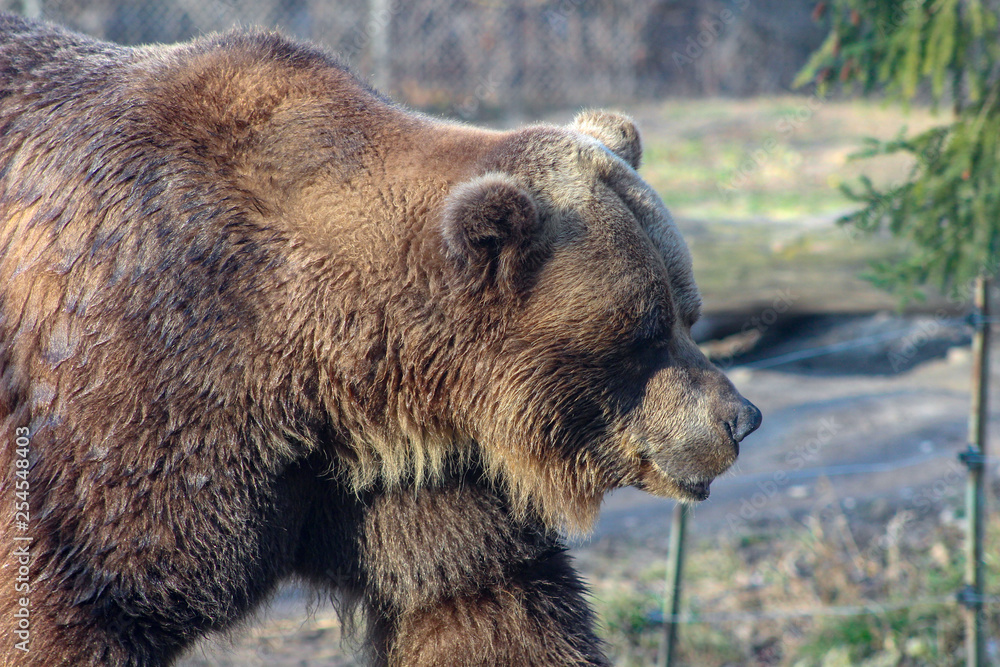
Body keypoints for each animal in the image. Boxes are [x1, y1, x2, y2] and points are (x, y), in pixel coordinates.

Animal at [0, 12, 761, 667]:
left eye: (688, 311)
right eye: (644, 332)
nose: (740, 418)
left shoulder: (414, 477)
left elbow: (484, 602)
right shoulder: (139, 399)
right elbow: (83, 600)